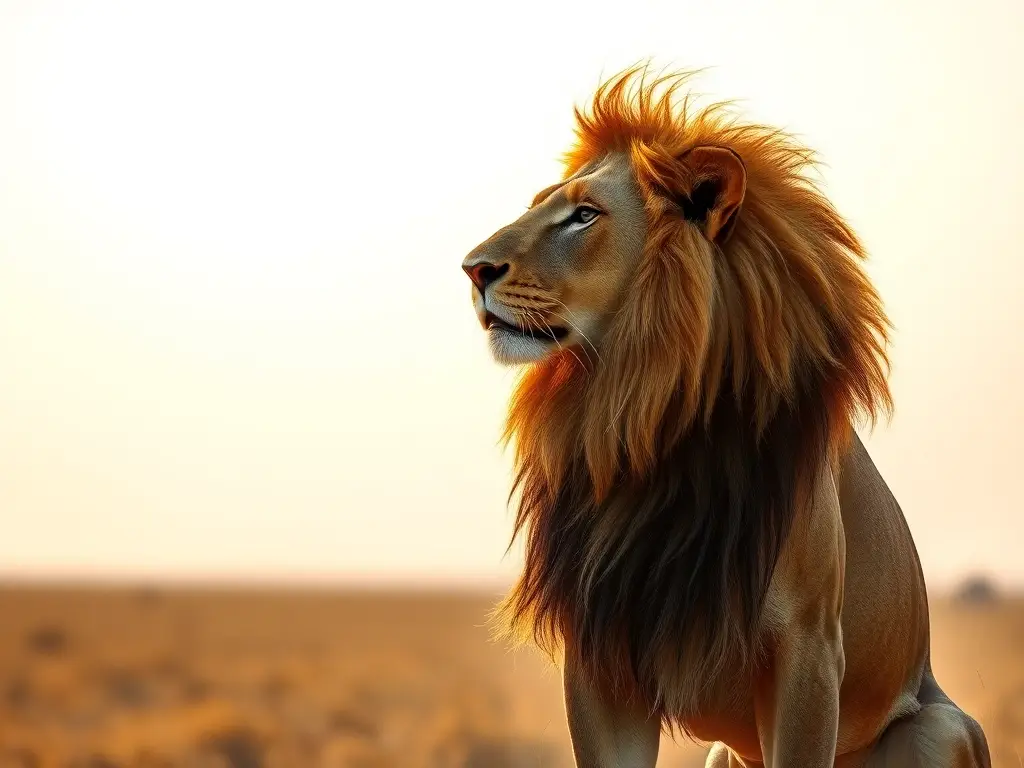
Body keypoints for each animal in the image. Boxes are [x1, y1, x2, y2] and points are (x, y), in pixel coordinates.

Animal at [460, 68, 992, 767]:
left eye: (584, 215)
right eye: (538, 206)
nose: (473, 269)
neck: (641, 413)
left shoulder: (808, 651)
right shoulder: (602, 654)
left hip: (941, 728)